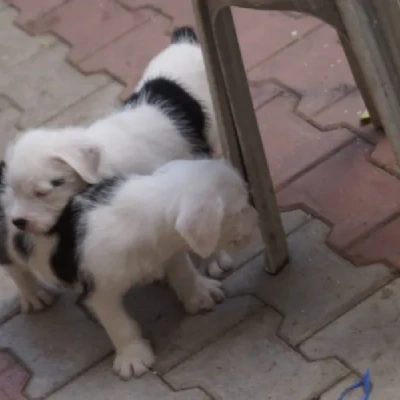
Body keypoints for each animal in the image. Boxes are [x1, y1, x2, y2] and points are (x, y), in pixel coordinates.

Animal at [2, 159, 260, 378]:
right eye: (240, 209)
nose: (258, 215)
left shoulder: (171, 250)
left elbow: (184, 272)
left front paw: (199, 294)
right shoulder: (101, 291)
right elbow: (120, 324)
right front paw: (133, 357)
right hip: (10, 248)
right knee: (16, 270)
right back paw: (34, 296)